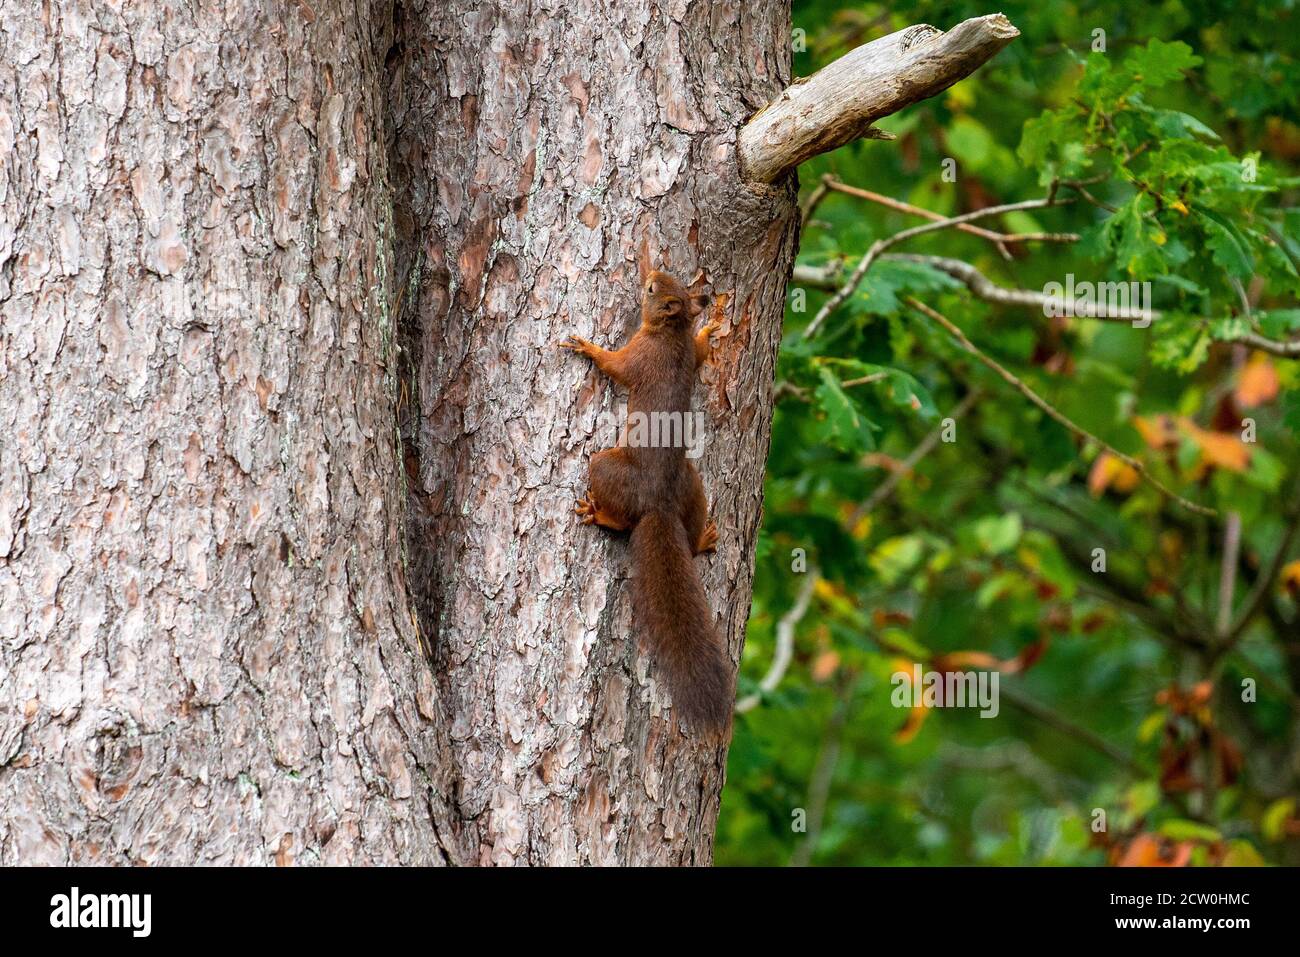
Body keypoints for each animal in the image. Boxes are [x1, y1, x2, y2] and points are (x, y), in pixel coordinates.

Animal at [556, 273, 733, 738]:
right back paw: (702, 539)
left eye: (654, 291)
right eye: (664, 284)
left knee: (620, 519)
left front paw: (588, 347)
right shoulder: (688, 354)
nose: (649, 277)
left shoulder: (638, 356)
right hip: (693, 484)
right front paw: (709, 329)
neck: (669, 334)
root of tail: (659, 505)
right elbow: (701, 354)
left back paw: (597, 513)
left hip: (606, 466)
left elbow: (615, 365)